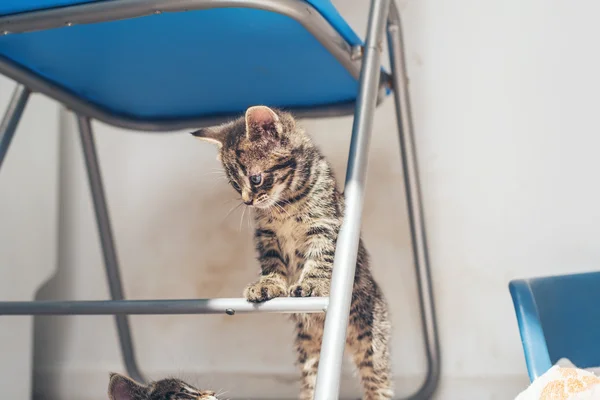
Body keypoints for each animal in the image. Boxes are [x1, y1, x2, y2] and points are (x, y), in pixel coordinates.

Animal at [190, 105, 392, 400]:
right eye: (235, 185)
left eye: (256, 178)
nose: (247, 202)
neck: (285, 203)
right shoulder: (266, 237)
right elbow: (272, 264)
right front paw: (268, 284)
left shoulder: (325, 224)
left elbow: (320, 258)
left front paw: (311, 284)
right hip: (309, 348)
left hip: (371, 340)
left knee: (378, 383)